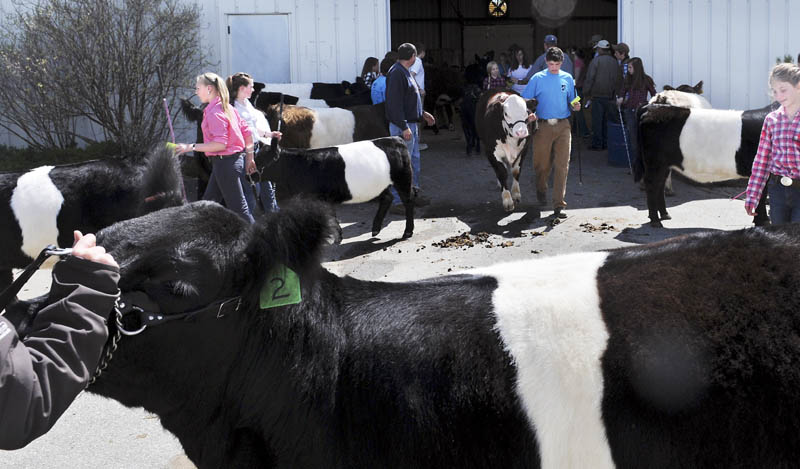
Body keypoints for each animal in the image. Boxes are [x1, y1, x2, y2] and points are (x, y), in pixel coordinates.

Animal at [636, 102, 780, 227]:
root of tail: (651, 107)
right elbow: (761, 194)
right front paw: (763, 221)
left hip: (665, 165)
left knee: (660, 185)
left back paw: (665, 214)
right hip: (655, 162)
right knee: (652, 185)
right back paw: (655, 220)